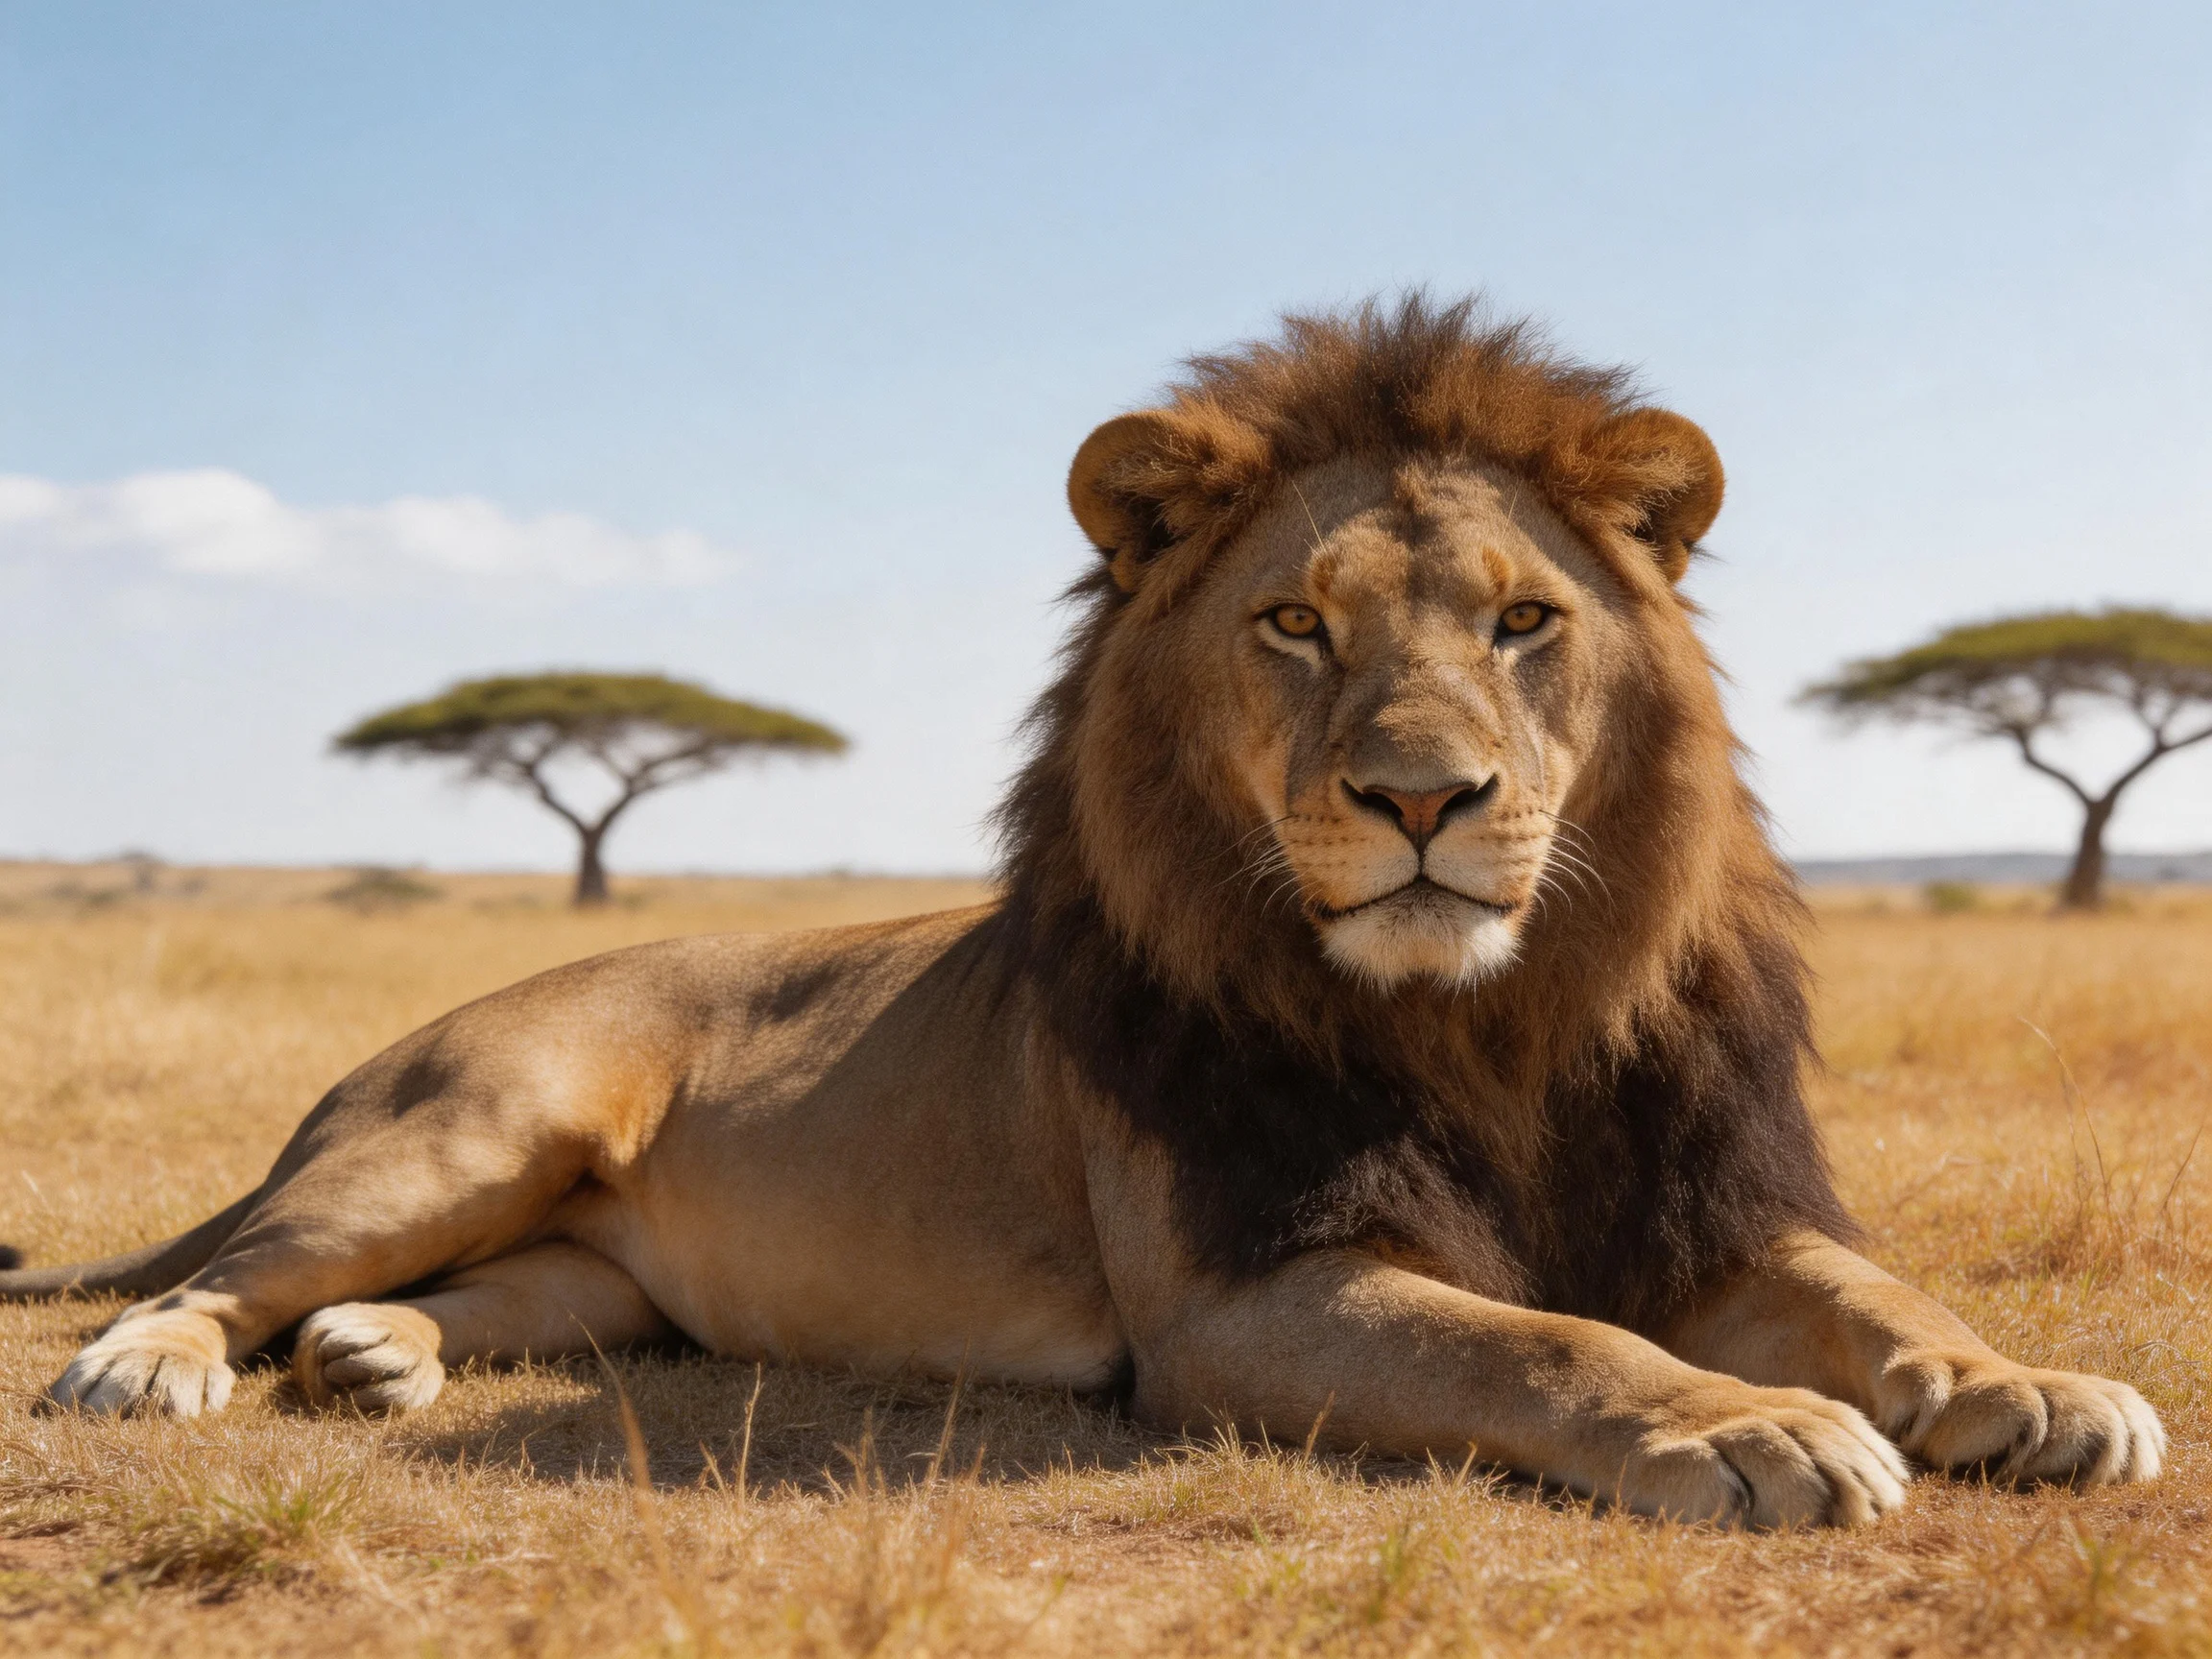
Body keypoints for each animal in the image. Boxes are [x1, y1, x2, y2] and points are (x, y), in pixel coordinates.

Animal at [2, 297, 2163, 1528]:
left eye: (1521, 622)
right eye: (1295, 623)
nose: (1422, 799)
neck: (1493, 1017)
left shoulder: (1719, 1205)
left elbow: (1885, 1302)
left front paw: (2033, 1391)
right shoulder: (1240, 1295)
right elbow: (1545, 1347)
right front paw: (1752, 1430)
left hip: (593, 1273)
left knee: (469, 1300)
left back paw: (375, 1357)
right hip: (470, 1126)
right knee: (225, 1268)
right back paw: (154, 1365)